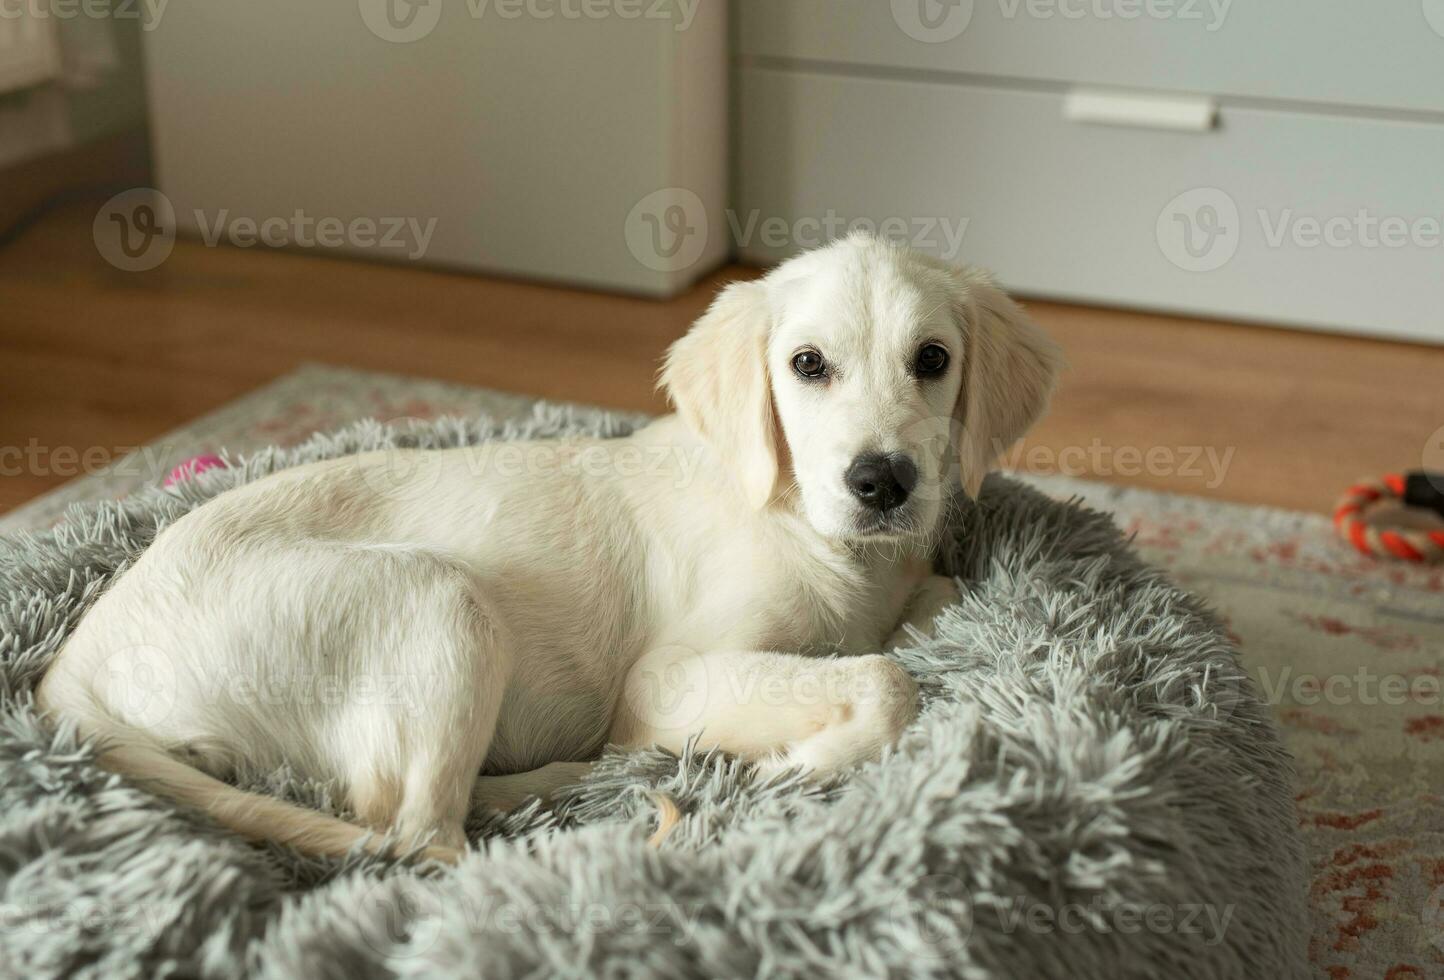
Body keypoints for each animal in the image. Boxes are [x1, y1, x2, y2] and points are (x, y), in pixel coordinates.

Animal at [36, 238, 1062, 865]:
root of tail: (72, 668)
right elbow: (885, 680)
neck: (808, 528)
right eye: (807, 365)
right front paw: (801, 762)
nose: (882, 482)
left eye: (933, 360)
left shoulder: (908, 584)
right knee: (417, 836)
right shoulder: (663, 677)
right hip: (439, 598)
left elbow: (922, 614)